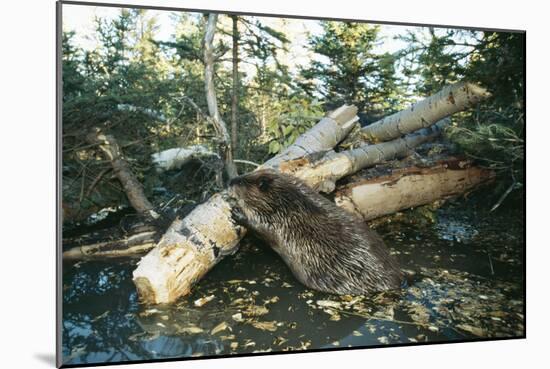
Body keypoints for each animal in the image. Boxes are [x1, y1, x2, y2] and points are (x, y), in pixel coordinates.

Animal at [226, 169, 404, 294]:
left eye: (241, 182)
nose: (230, 181)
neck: (288, 203)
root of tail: (400, 278)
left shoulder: (278, 221)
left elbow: (260, 228)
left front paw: (235, 212)